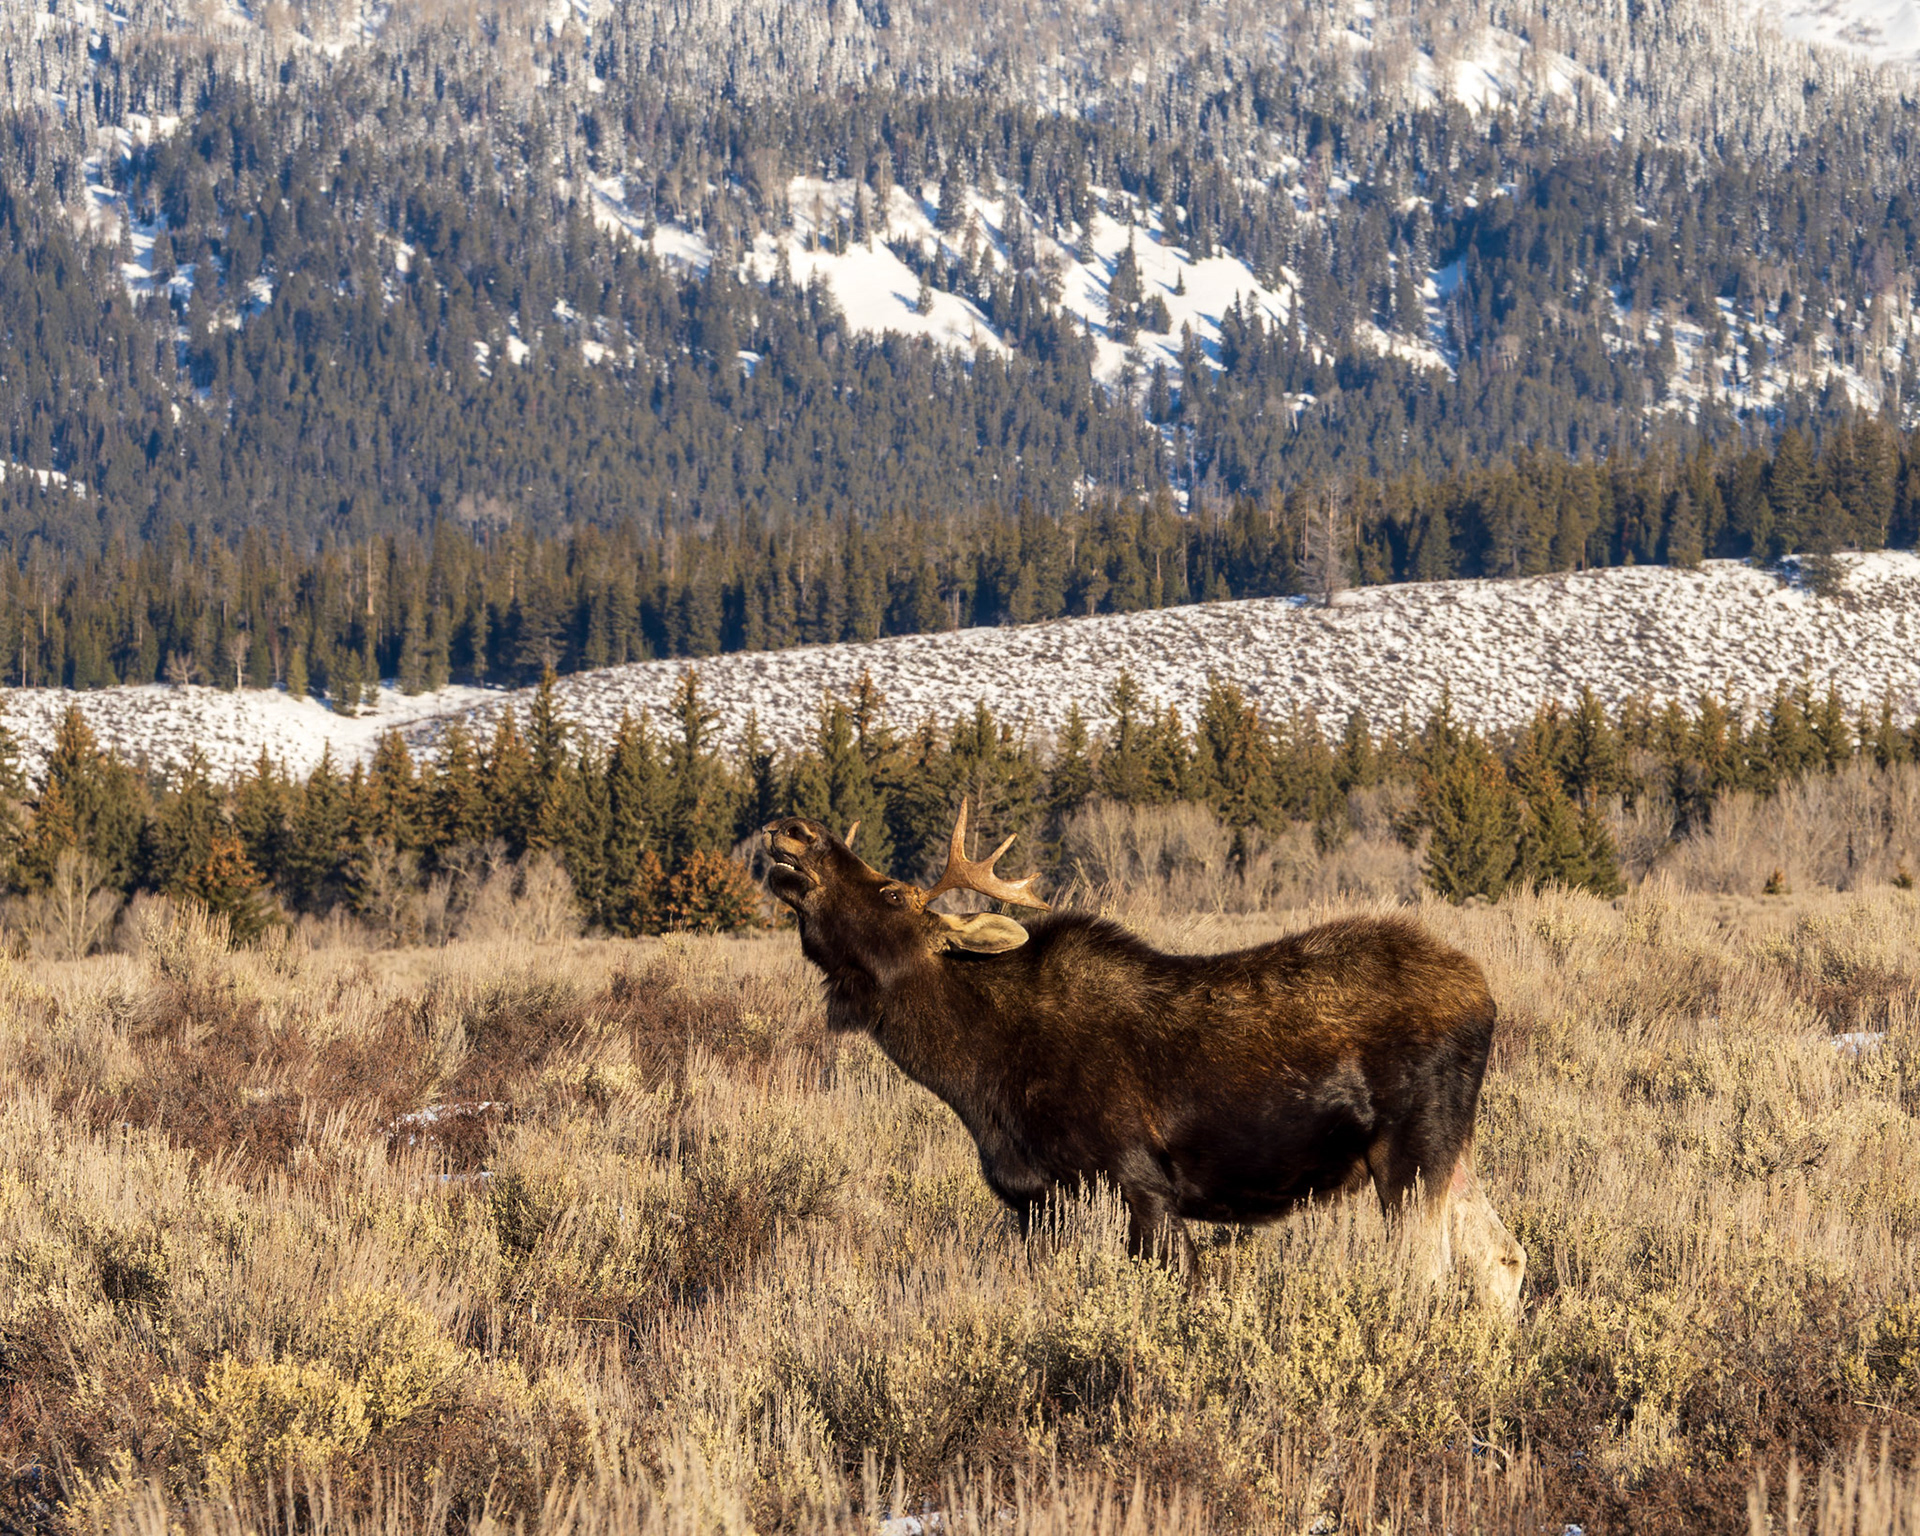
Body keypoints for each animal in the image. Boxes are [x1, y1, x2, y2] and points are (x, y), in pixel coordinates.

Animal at [763, 803, 1527, 1315]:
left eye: (891, 890)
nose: (793, 830)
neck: (975, 1071)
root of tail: (1485, 995)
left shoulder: (1140, 1184)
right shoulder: (1037, 1204)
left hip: (1410, 1151)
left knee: (1430, 1276)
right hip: (1453, 1150)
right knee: (1503, 1255)